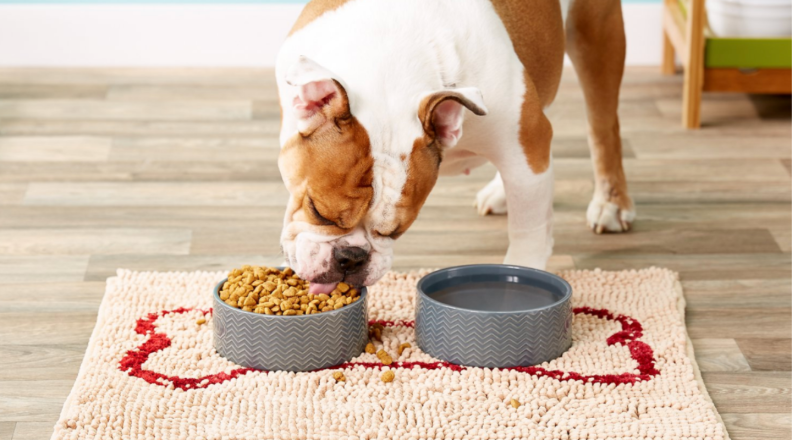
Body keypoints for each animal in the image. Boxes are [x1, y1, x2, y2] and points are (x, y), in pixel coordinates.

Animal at [276, 0, 636, 296]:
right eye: (318, 211)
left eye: (396, 231)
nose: (351, 257)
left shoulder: (528, 139)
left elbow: (529, 228)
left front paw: (523, 269)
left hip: (596, 34)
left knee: (603, 127)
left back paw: (611, 203)